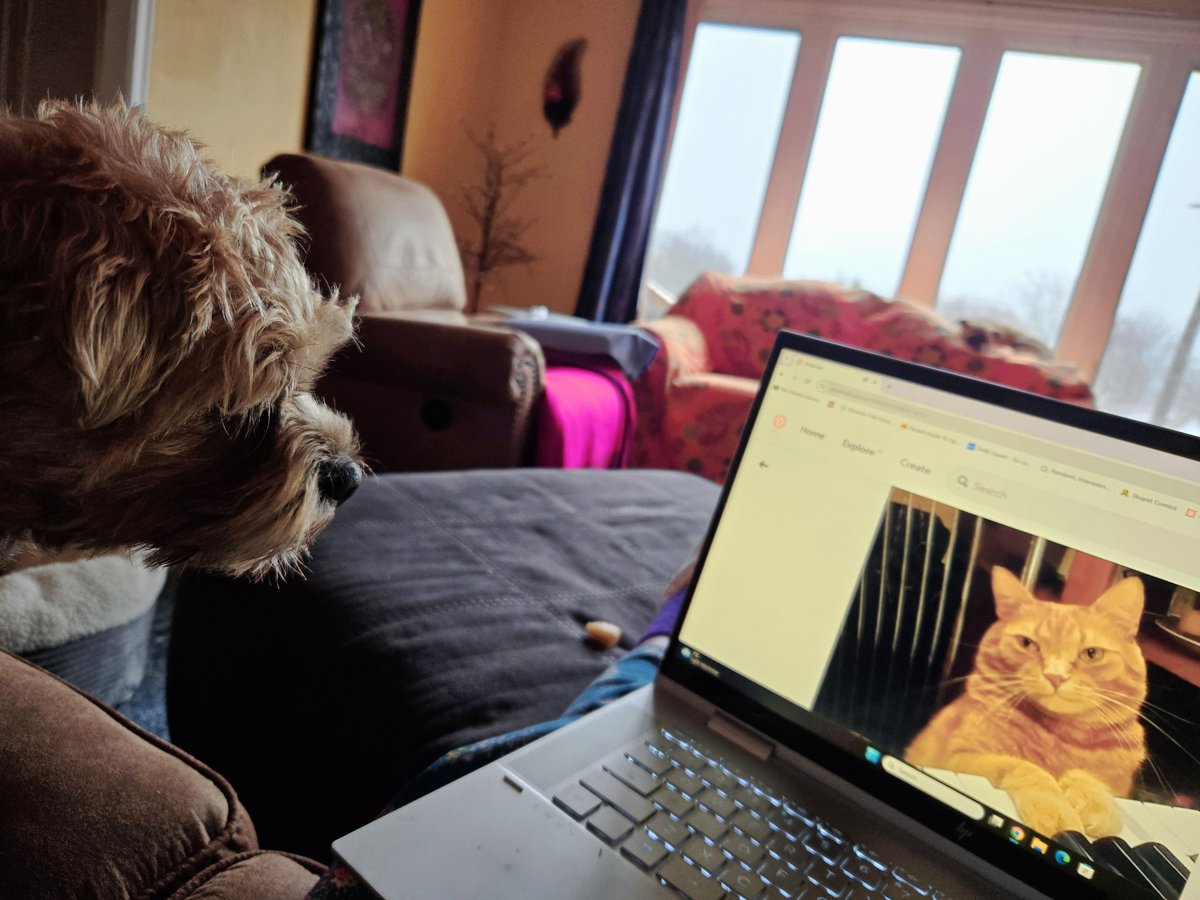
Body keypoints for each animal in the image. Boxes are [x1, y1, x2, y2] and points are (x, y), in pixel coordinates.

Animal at [902, 566, 1147, 844]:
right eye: (1027, 643)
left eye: (1091, 654)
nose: (1055, 676)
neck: (1061, 736)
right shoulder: (958, 758)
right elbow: (1025, 766)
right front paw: (1056, 812)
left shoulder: (1119, 788)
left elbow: (1091, 779)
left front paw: (1098, 804)